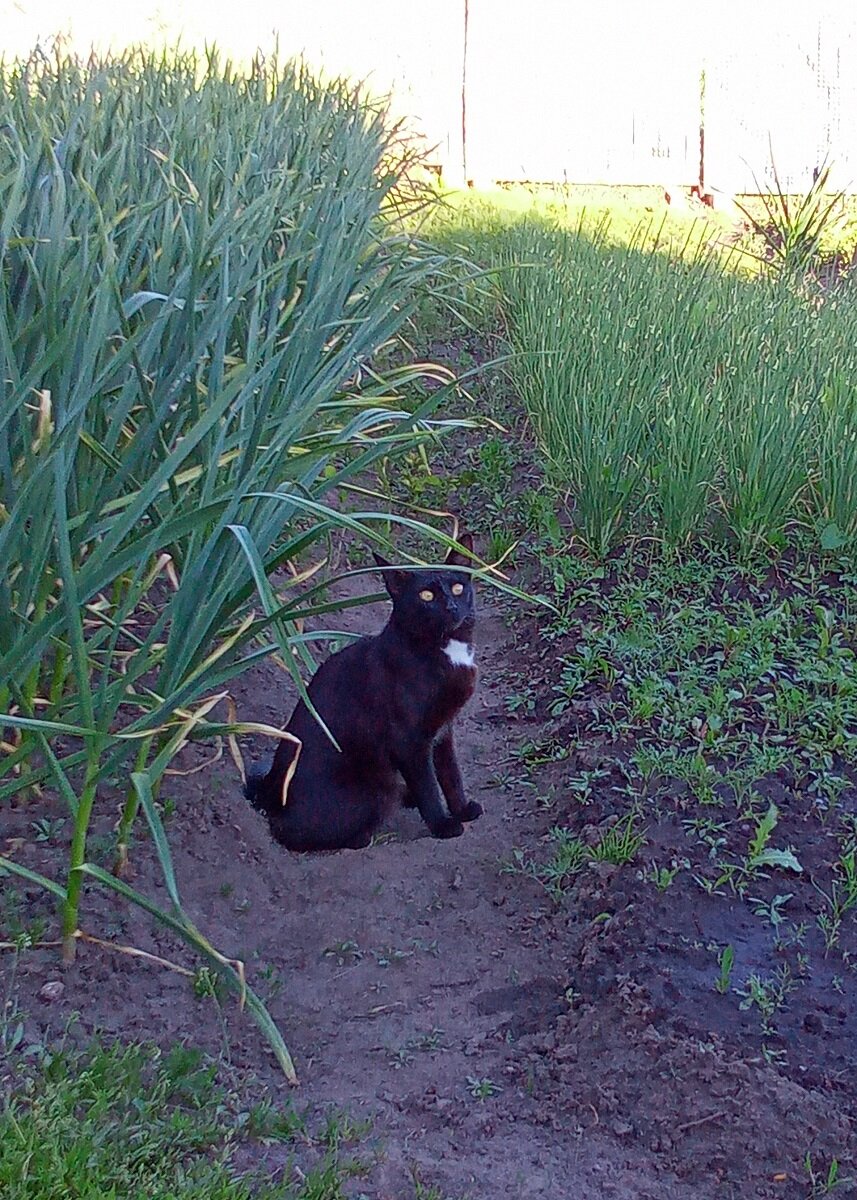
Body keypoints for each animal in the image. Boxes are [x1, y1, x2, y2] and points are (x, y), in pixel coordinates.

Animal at [244, 535, 480, 854]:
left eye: (458, 588)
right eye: (426, 596)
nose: (453, 607)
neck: (445, 649)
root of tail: (271, 796)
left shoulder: (443, 729)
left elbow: (450, 773)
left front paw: (462, 809)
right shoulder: (409, 738)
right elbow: (428, 785)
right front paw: (443, 825)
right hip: (372, 788)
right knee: (297, 835)